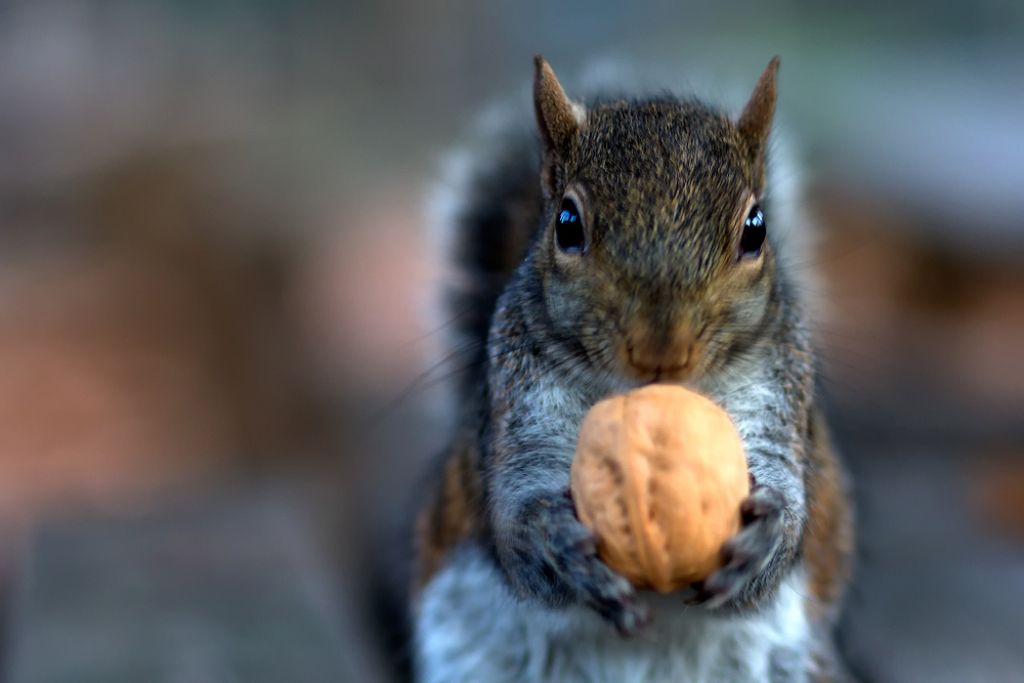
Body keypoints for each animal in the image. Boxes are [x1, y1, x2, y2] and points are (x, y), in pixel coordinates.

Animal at [409, 54, 856, 683]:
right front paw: (556, 546)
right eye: (567, 224)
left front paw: (765, 538)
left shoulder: (780, 393)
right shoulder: (517, 406)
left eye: (756, 229)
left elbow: (789, 498)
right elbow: (514, 516)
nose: (659, 348)